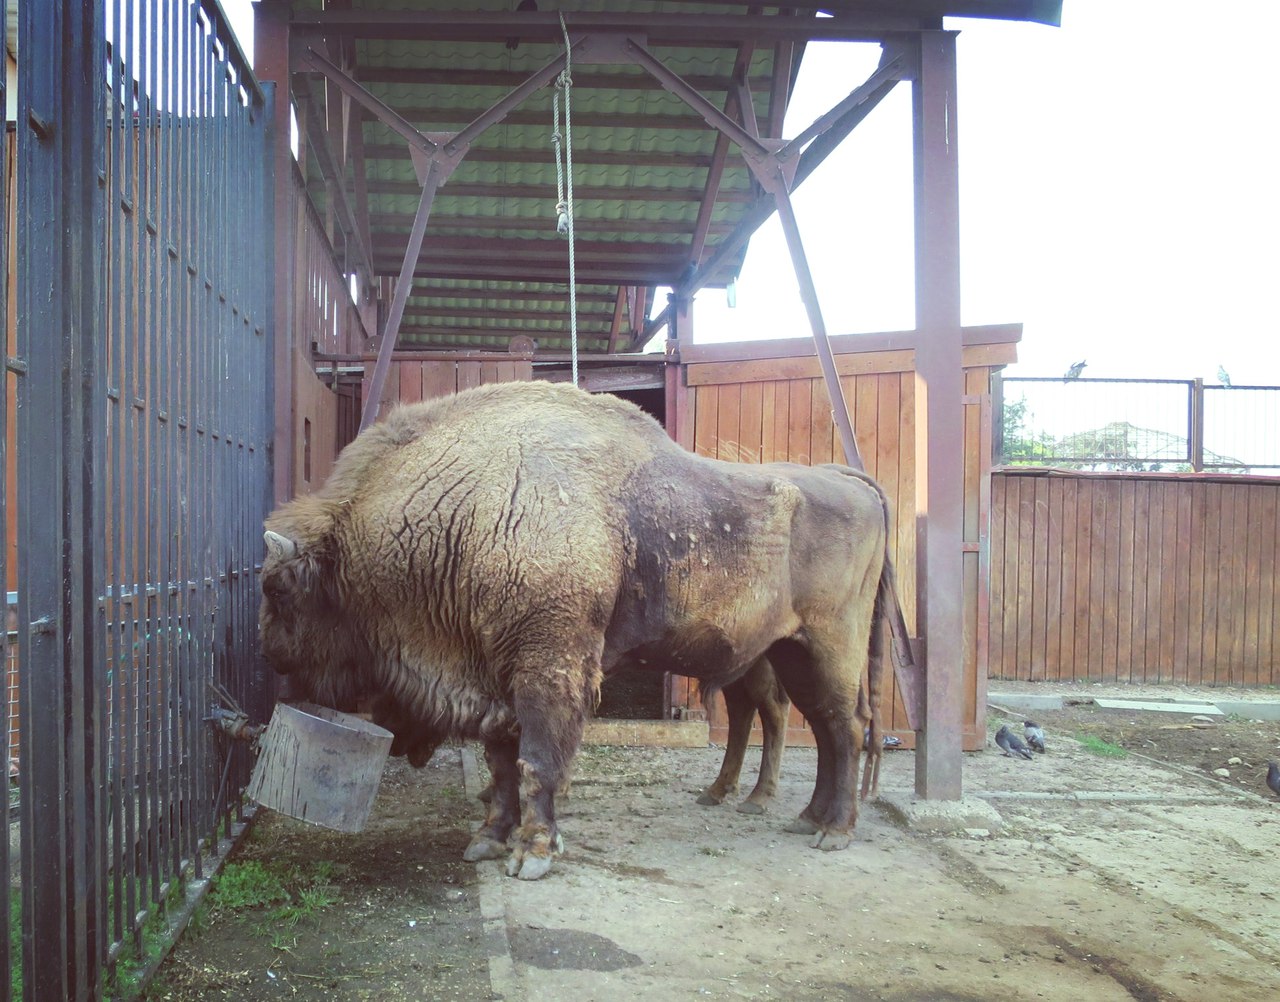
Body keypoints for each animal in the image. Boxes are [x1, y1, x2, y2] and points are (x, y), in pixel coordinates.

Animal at [259, 381, 896, 880]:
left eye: (277, 591)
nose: (272, 656)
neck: (463, 512)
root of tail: (852, 481)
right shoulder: (499, 678)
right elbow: (503, 762)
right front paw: (489, 840)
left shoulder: (548, 668)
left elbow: (538, 760)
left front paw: (533, 854)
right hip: (787, 651)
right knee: (815, 725)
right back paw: (803, 818)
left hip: (829, 647)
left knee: (844, 727)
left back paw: (834, 831)